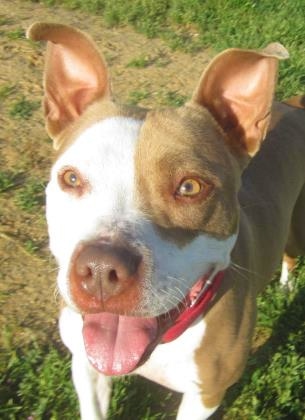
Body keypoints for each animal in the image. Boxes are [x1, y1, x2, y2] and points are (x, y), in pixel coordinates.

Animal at [26, 22, 304, 420]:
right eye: (72, 179)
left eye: (190, 187)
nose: (100, 270)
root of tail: (292, 106)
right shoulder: (85, 364)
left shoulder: (206, 395)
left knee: (291, 255)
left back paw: (285, 287)